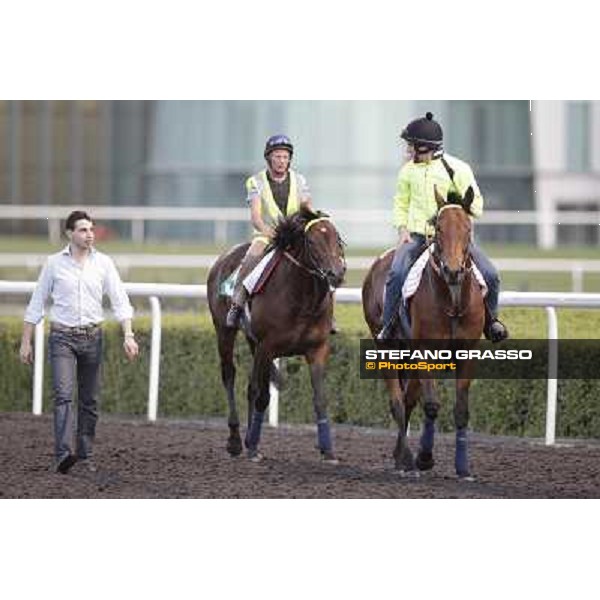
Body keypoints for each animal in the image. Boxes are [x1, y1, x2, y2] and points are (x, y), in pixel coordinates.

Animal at [207, 209, 344, 462]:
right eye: (312, 242)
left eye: (337, 238)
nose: (336, 274)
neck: (301, 300)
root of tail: (223, 258)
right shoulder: (267, 347)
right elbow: (262, 396)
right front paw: (252, 447)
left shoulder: (317, 349)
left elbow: (320, 399)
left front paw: (328, 449)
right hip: (224, 330)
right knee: (229, 375)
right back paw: (236, 441)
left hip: (252, 341)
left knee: (249, 386)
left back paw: (247, 437)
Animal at [360, 185, 488, 480]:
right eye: (438, 227)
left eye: (468, 228)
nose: (453, 271)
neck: (453, 301)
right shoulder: (426, 351)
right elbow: (431, 405)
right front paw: (424, 457)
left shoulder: (467, 353)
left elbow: (461, 410)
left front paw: (463, 467)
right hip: (387, 345)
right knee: (397, 400)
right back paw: (405, 458)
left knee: (408, 399)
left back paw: (400, 455)